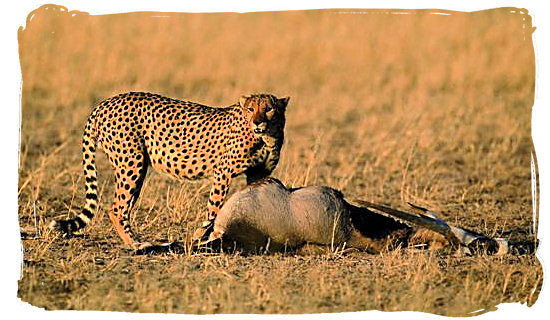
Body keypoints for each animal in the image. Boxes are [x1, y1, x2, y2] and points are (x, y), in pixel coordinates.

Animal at [49, 91, 292, 249]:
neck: (266, 137)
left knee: (123, 207)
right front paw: (201, 235)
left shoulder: (258, 175)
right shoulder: (223, 173)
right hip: (132, 163)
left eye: (268, 109)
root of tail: (106, 102)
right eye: (251, 109)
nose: (257, 122)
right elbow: (213, 208)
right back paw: (135, 244)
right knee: (116, 208)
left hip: (137, 168)